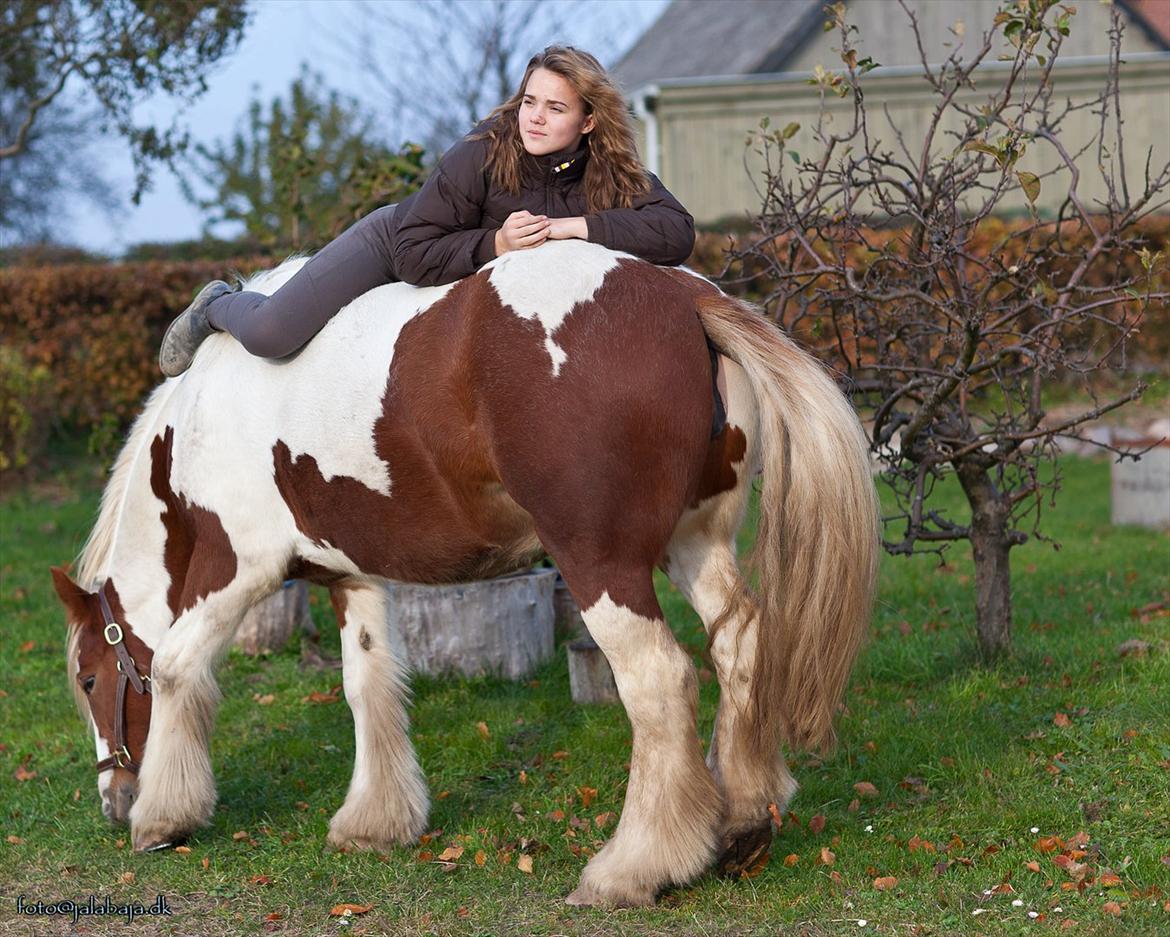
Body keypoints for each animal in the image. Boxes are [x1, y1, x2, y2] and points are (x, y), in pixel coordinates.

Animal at [54, 240, 879, 907]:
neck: (200, 415)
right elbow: (369, 685)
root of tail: (684, 297)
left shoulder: (236, 569)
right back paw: (741, 819)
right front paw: (377, 821)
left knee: (660, 681)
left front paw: (165, 816)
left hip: (601, 563)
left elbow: (176, 666)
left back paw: (630, 869)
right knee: (739, 642)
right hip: (694, 543)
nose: (112, 801)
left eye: (90, 678)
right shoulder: (353, 577)